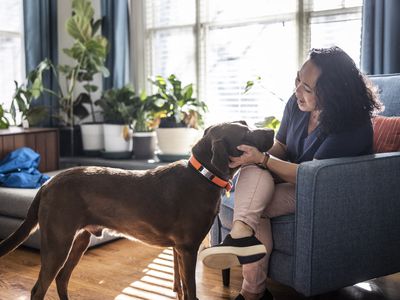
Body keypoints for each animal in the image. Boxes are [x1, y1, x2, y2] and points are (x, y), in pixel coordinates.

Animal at [0, 120, 274, 298]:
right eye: (246, 132)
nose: (272, 129)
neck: (203, 176)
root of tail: (47, 183)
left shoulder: (178, 250)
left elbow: (181, 288)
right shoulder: (187, 248)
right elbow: (191, 290)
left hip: (79, 240)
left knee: (62, 279)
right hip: (58, 243)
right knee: (39, 288)